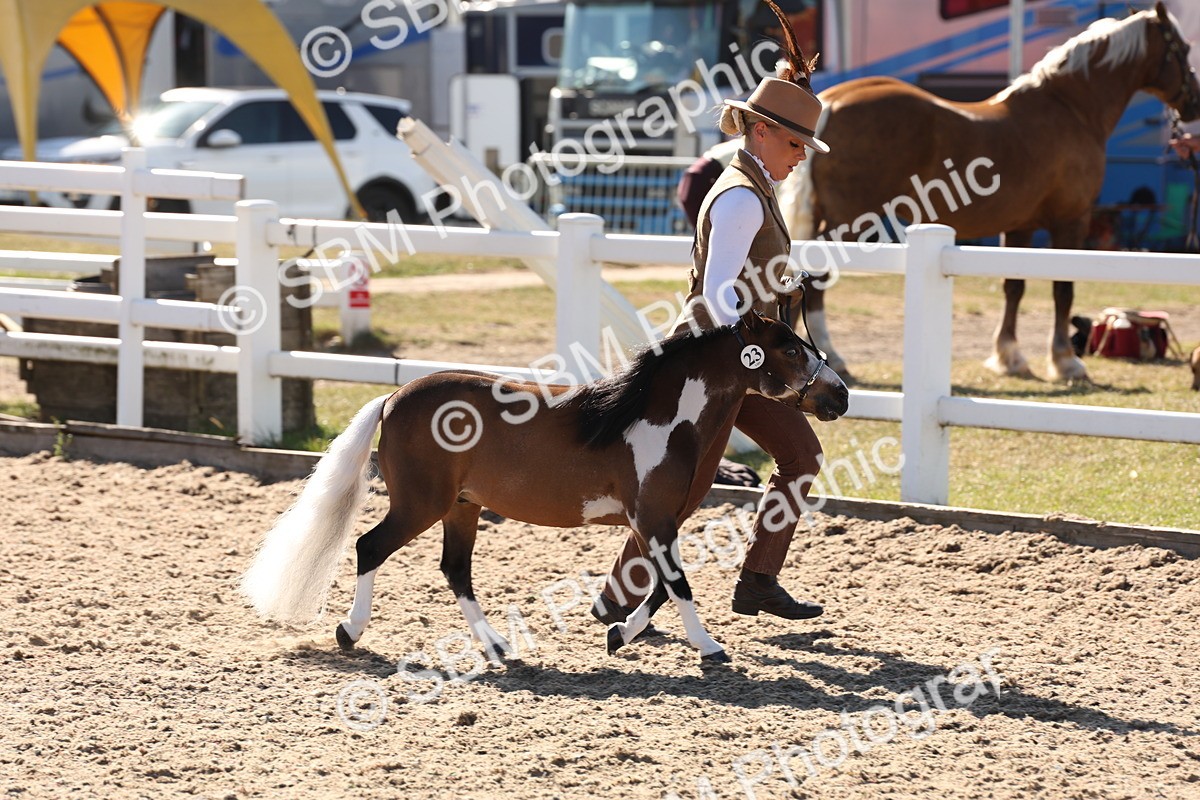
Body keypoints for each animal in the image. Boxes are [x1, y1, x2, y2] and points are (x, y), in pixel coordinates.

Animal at [241, 310, 849, 663]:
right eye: (791, 349)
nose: (839, 396)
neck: (656, 419)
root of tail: (393, 397)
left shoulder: (654, 522)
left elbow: (660, 587)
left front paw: (618, 635)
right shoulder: (652, 518)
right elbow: (678, 586)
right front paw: (710, 648)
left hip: (462, 507)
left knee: (454, 571)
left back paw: (498, 648)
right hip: (421, 504)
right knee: (370, 547)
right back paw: (349, 632)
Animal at [780, 2, 1200, 382]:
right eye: (1184, 49)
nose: (1193, 105)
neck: (1069, 108)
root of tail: (832, 104)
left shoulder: (1020, 227)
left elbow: (1013, 287)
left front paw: (1010, 357)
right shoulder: (1071, 221)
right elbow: (1063, 290)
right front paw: (1066, 362)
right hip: (849, 221)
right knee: (818, 279)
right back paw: (834, 356)